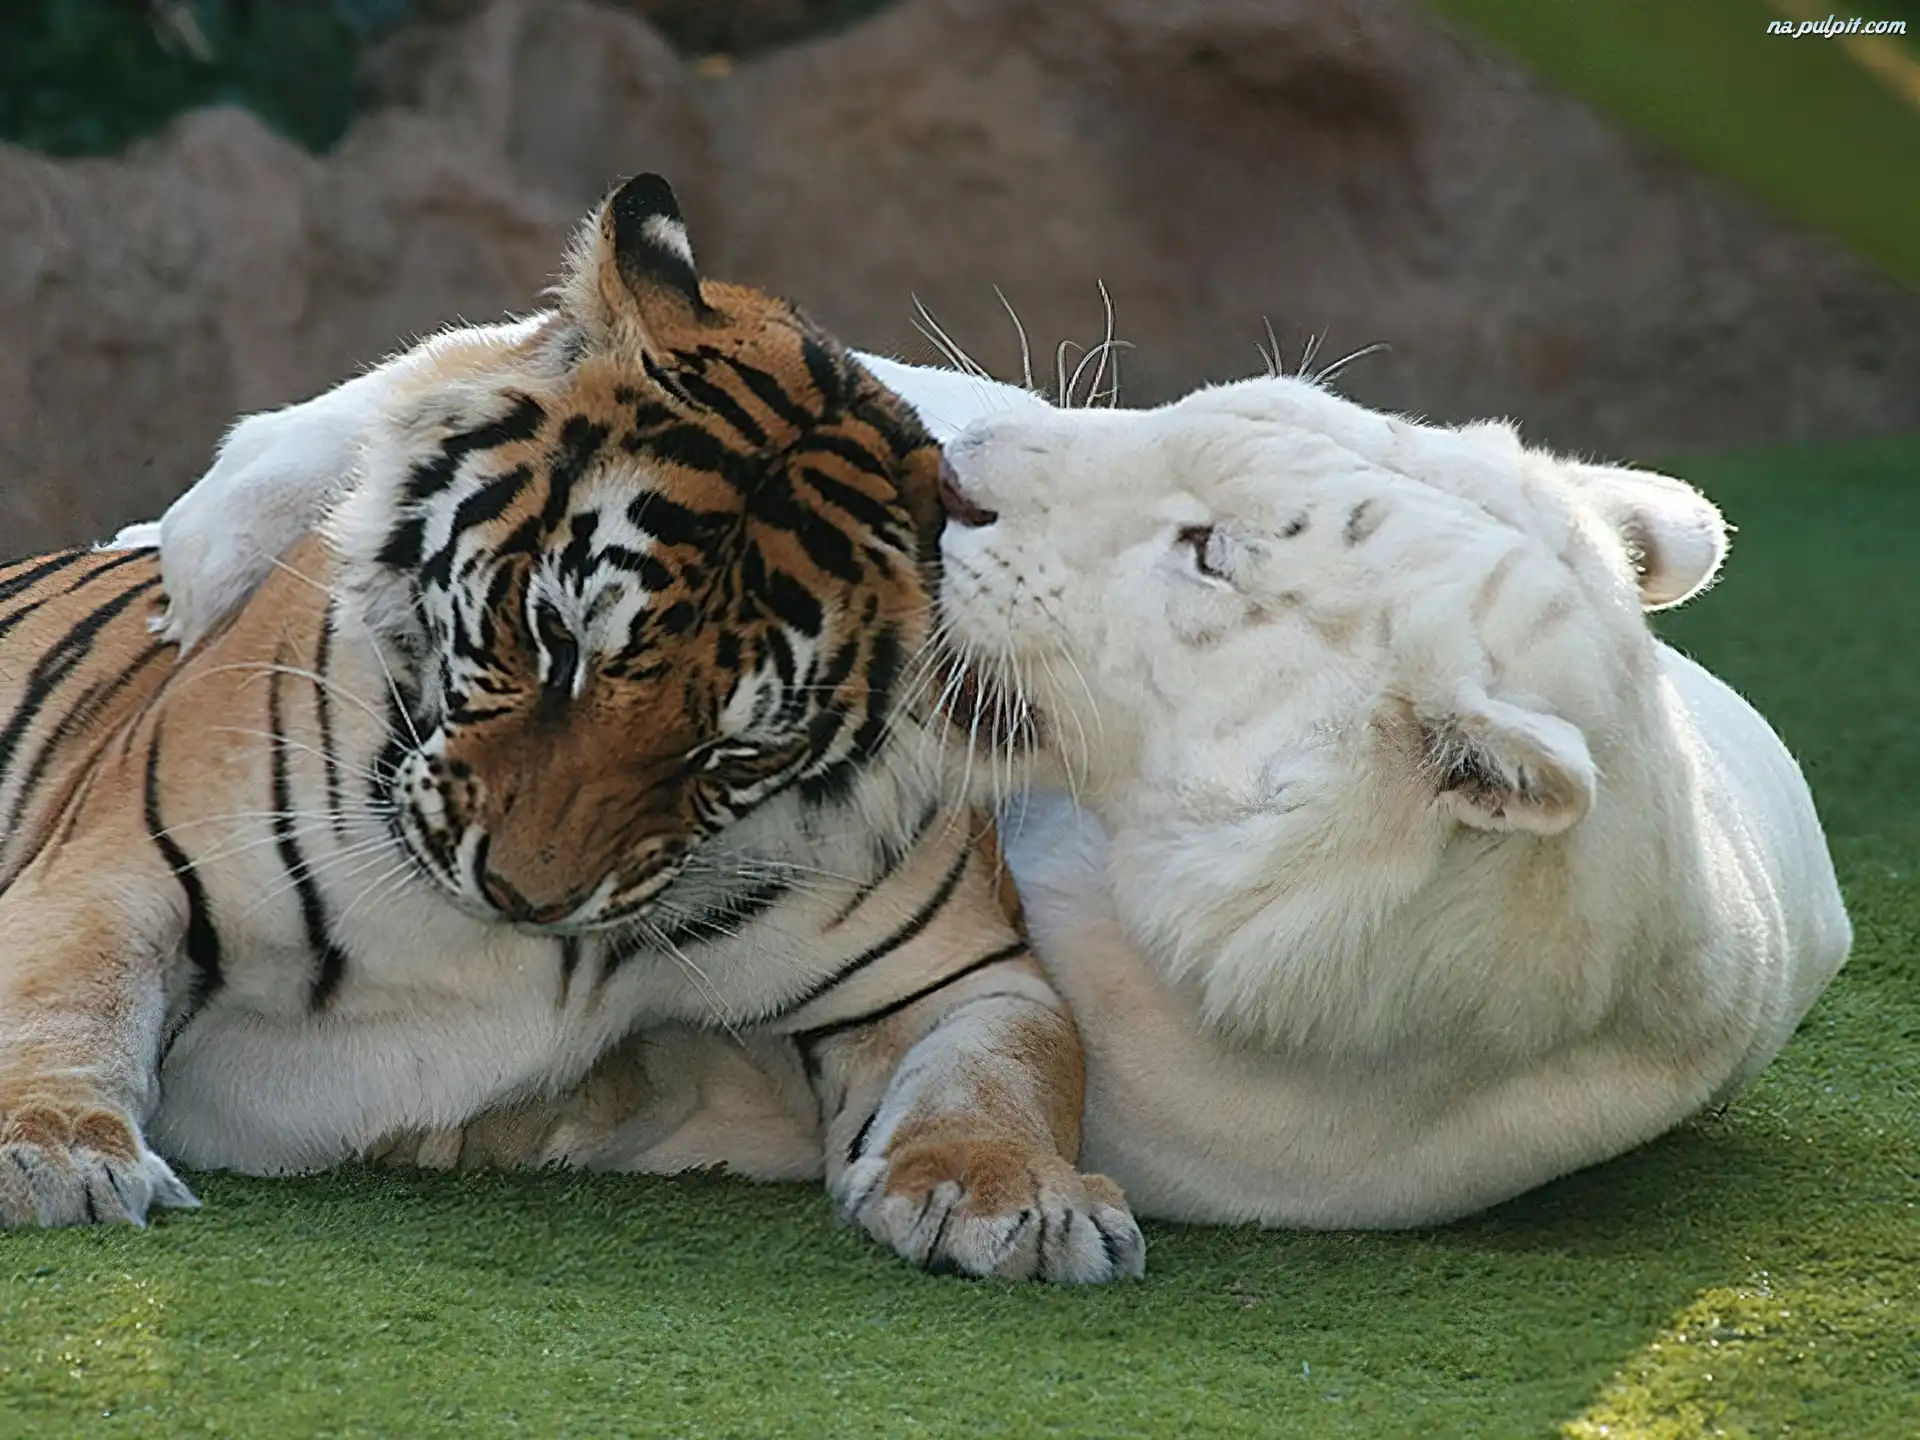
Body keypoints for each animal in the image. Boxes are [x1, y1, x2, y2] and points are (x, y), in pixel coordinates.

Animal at [0, 173, 1145, 1283]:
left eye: (737, 751)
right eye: (556, 640)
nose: (521, 894)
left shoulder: (964, 976)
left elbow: (1004, 1074)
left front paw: (1015, 1197)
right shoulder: (125, 870)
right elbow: (66, 1000)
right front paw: (52, 1151)